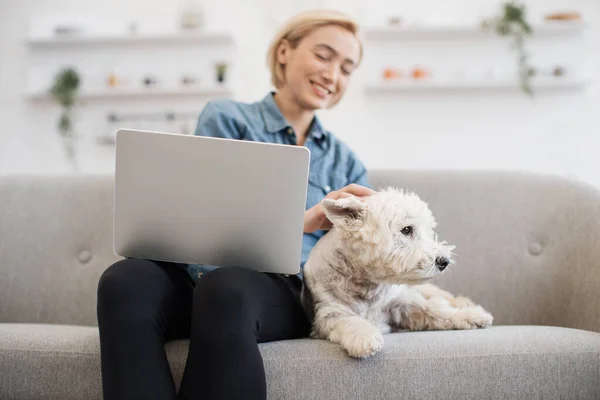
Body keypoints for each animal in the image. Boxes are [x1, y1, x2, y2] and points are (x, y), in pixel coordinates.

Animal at [302, 188, 494, 360]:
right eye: (406, 229)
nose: (444, 261)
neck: (368, 285)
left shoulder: (401, 303)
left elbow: (434, 309)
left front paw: (472, 316)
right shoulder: (326, 312)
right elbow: (347, 319)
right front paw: (364, 338)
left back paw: (465, 304)